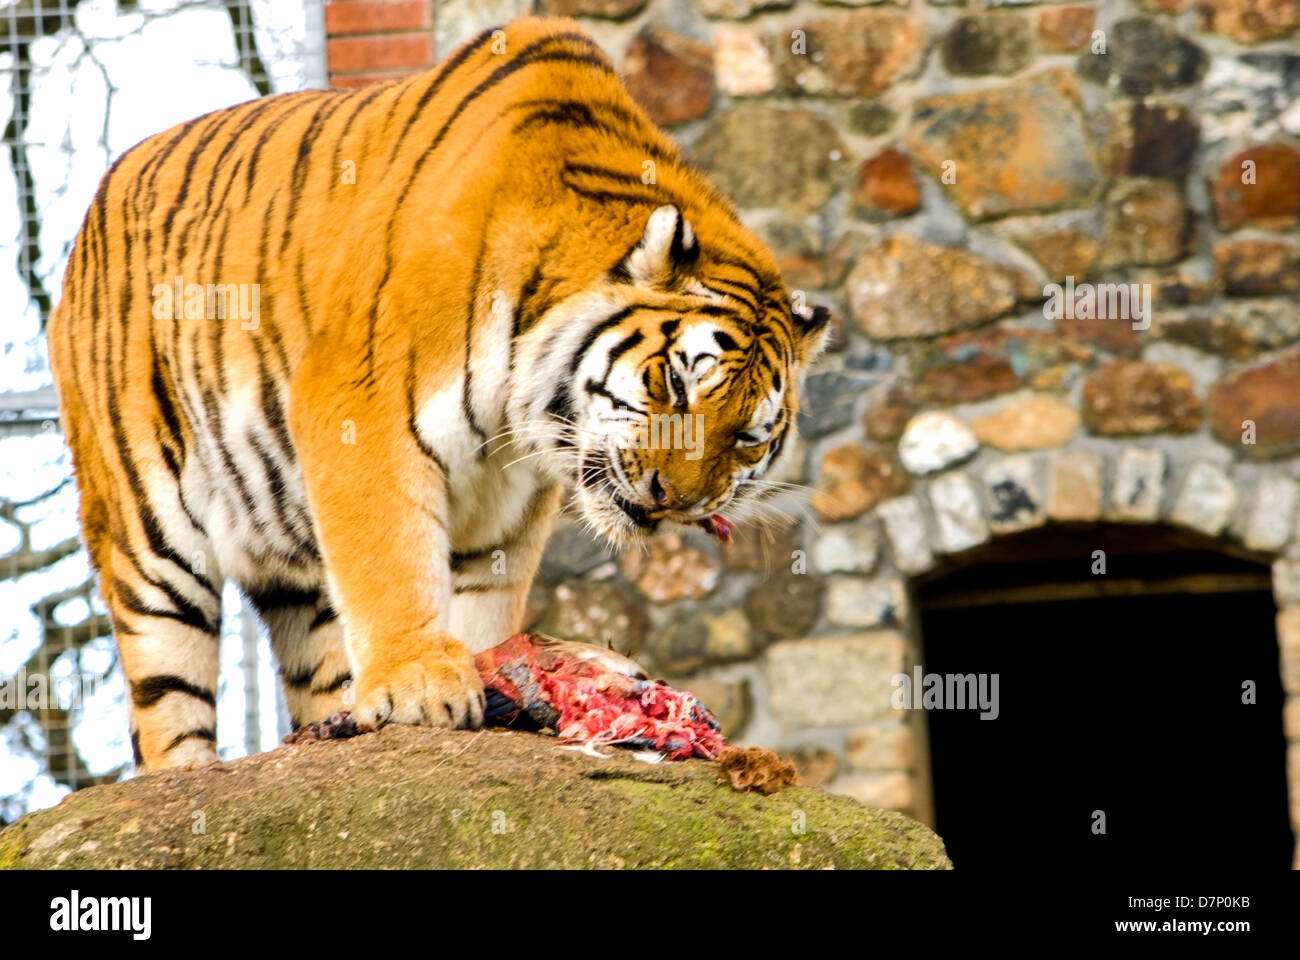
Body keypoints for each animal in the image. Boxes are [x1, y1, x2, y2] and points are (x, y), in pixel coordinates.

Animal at [48, 16, 832, 770]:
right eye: (672, 382)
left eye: (748, 437)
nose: (675, 499)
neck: (520, 409)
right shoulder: (356, 408)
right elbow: (390, 559)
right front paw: (420, 683)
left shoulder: (506, 507)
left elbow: (481, 602)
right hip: (149, 539)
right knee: (168, 711)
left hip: (293, 567)